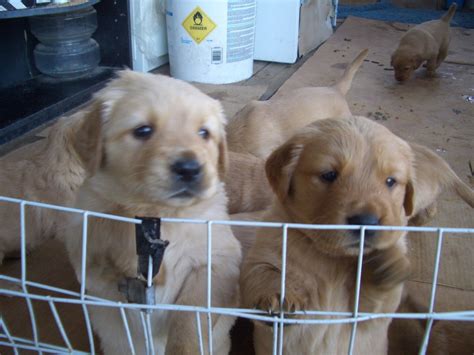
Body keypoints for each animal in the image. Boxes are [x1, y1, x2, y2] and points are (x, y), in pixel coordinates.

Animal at [61, 71, 241, 354]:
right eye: (143, 130)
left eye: (204, 133)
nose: (190, 168)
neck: (157, 214)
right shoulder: (85, 250)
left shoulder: (217, 261)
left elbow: (190, 314)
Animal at [243, 115, 420, 354]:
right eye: (329, 175)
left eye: (391, 181)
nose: (366, 221)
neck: (330, 258)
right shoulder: (266, 248)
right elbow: (262, 272)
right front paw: (279, 296)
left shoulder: (369, 316)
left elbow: (375, 302)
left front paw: (386, 261)